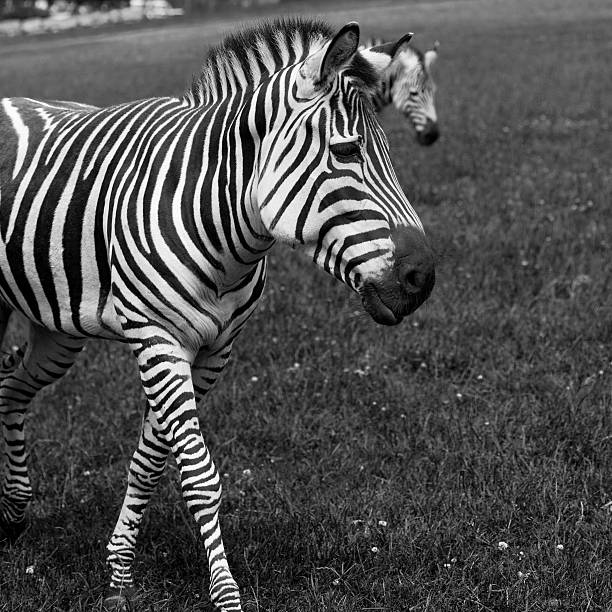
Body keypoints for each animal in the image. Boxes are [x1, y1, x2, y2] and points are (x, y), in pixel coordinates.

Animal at [0, 16, 438, 608]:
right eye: (347, 153)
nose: (423, 280)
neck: (224, 227)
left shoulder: (213, 351)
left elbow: (151, 461)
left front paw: (119, 573)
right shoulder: (157, 339)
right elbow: (199, 474)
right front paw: (226, 593)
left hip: (55, 329)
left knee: (10, 387)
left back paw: (14, 512)